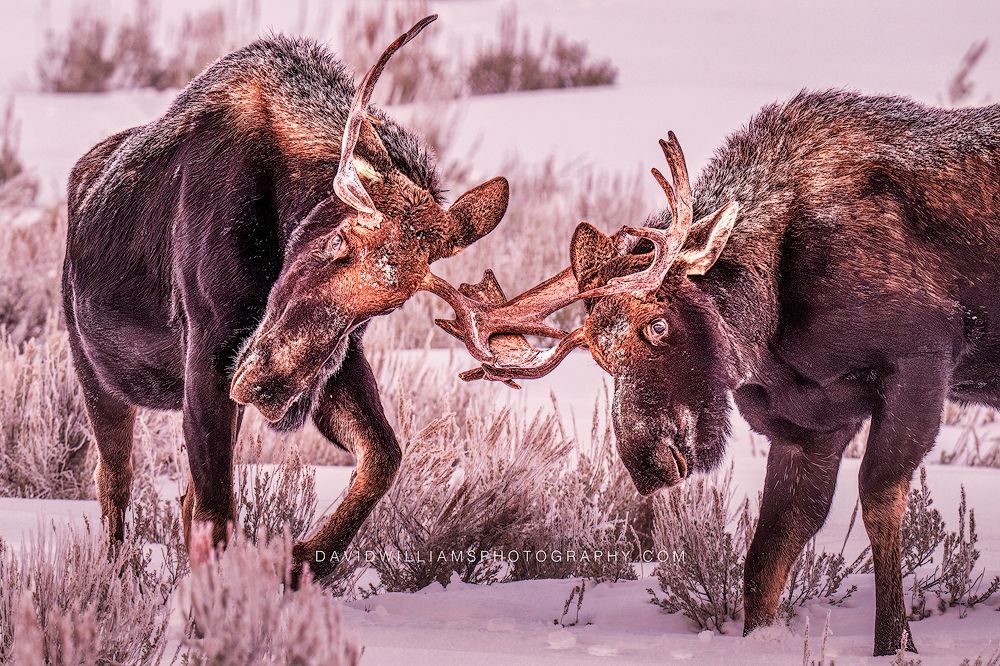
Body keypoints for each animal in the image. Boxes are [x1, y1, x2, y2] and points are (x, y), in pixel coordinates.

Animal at [62, 16, 510, 580]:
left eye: (387, 306)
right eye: (336, 242)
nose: (266, 387)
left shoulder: (333, 362)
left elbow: (382, 457)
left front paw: (299, 562)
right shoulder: (209, 355)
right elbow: (216, 511)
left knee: (175, 496)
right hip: (97, 376)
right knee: (115, 481)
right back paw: (114, 575)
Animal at [435, 91, 1000, 656]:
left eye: (658, 324)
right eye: (598, 356)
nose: (648, 463)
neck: (772, 322)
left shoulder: (921, 364)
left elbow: (880, 505)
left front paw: (894, 644)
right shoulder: (808, 427)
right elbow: (767, 560)